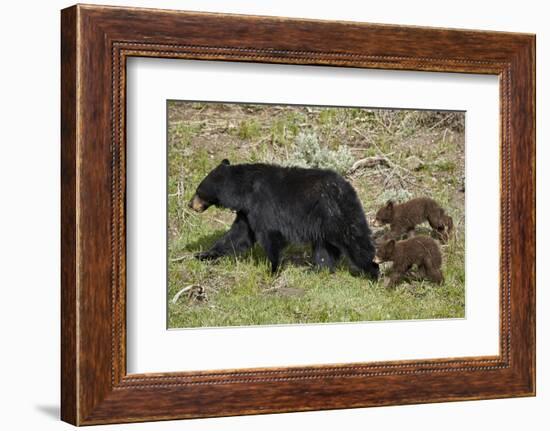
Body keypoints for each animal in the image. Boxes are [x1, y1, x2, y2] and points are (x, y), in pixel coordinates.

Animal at [189, 160, 380, 278]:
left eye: (198, 191)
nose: (190, 204)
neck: (245, 190)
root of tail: (347, 186)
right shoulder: (247, 212)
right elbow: (238, 236)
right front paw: (203, 254)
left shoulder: (263, 205)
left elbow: (270, 236)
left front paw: (272, 270)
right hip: (323, 223)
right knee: (324, 249)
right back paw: (316, 270)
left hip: (336, 214)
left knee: (356, 242)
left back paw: (374, 271)